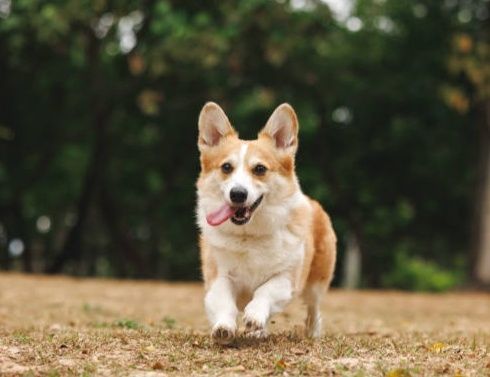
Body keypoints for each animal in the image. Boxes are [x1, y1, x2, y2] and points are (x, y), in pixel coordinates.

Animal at [196, 101, 336, 342]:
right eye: (226, 167)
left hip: (316, 283)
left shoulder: (286, 279)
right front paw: (224, 327)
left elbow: (265, 291)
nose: (238, 194)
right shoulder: (218, 277)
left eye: (260, 169)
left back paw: (311, 332)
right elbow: (223, 301)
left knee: (313, 308)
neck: (248, 236)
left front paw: (254, 315)